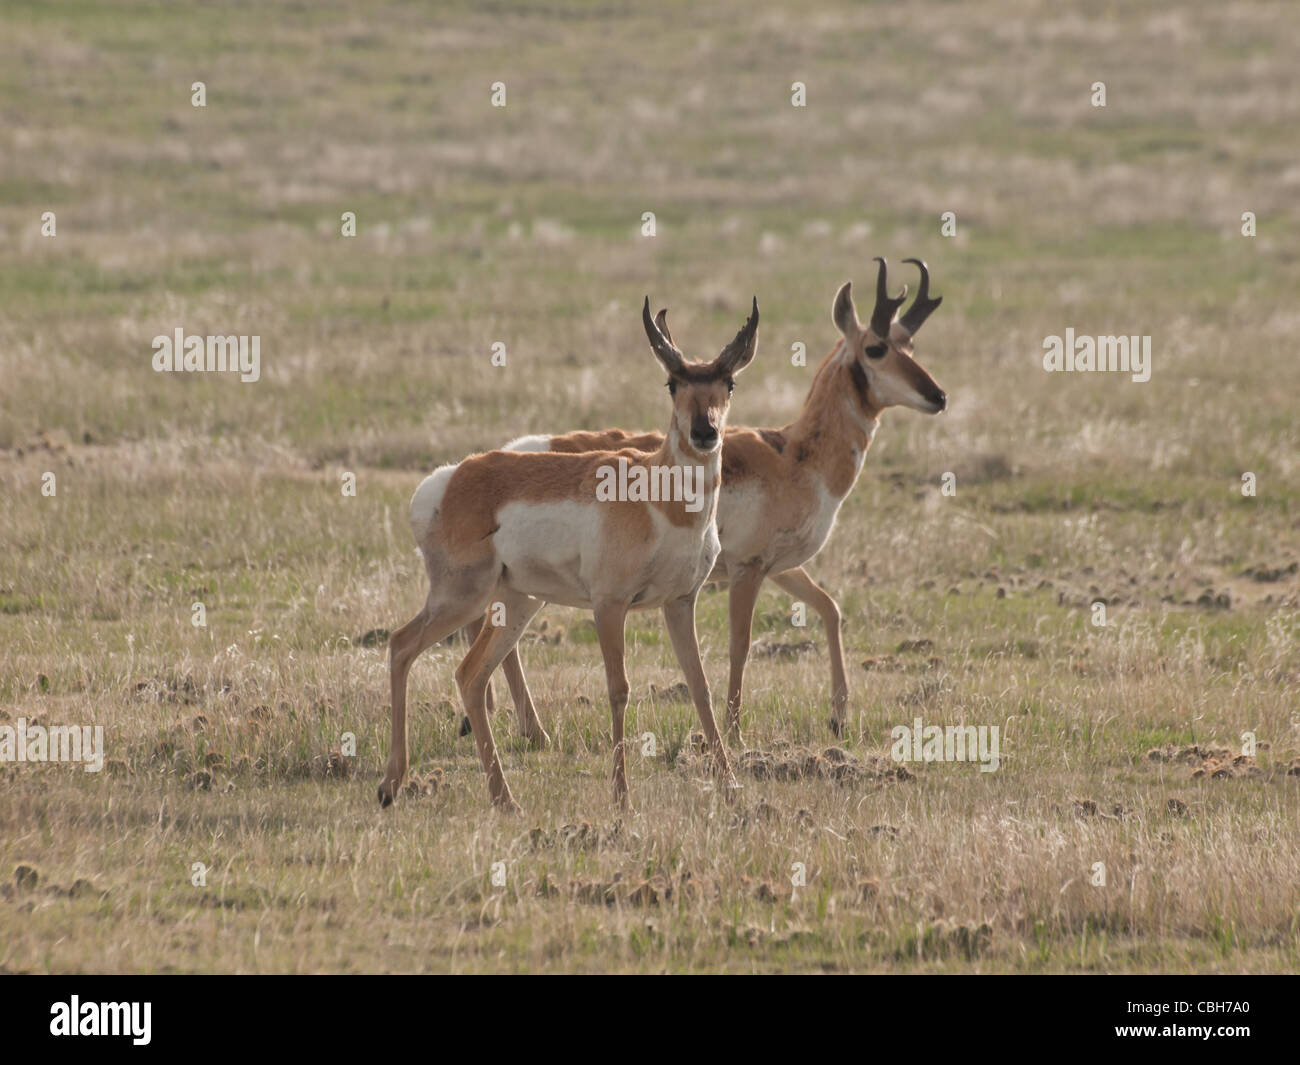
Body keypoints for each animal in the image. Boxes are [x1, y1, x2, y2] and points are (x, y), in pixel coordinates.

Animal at [379, 295, 759, 811]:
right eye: (672, 382)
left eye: (729, 382)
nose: (705, 432)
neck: (659, 496)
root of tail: (447, 480)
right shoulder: (609, 605)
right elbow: (618, 689)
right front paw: (621, 797)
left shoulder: (681, 602)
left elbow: (700, 685)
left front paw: (732, 787)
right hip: (463, 597)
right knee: (402, 645)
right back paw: (392, 785)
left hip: (517, 603)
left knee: (470, 675)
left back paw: (503, 799)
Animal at [465, 258, 946, 743]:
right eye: (876, 348)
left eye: (910, 344)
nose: (938, 396)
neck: (792, 453)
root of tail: (512, 454)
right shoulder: (748, 568)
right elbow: (741, 645)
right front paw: (733, 731)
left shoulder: (779, 567)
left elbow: (830, 608)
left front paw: (838, 717)